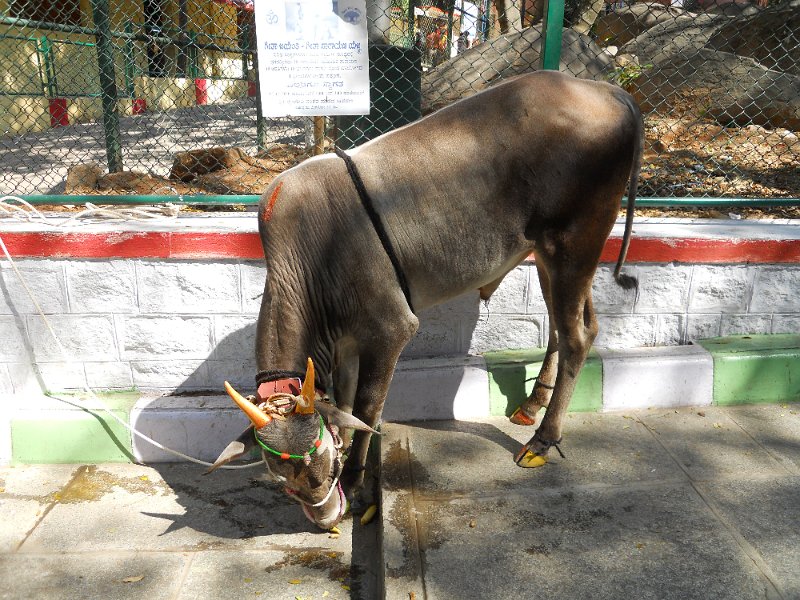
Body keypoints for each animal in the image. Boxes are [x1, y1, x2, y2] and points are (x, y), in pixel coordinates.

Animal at [210, 70, 643, 530]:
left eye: (321, 462)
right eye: (281, 479)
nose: (326, 517)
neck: (309, 257)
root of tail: (609, 90)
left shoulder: (391, 327)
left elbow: (367, 407)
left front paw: (356, 478)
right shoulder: (345, 342)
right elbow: (343, 401)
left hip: (575, 242)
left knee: (577, 335)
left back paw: (542, 439)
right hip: (549, 252)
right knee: (570, 325)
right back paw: (532, 404)